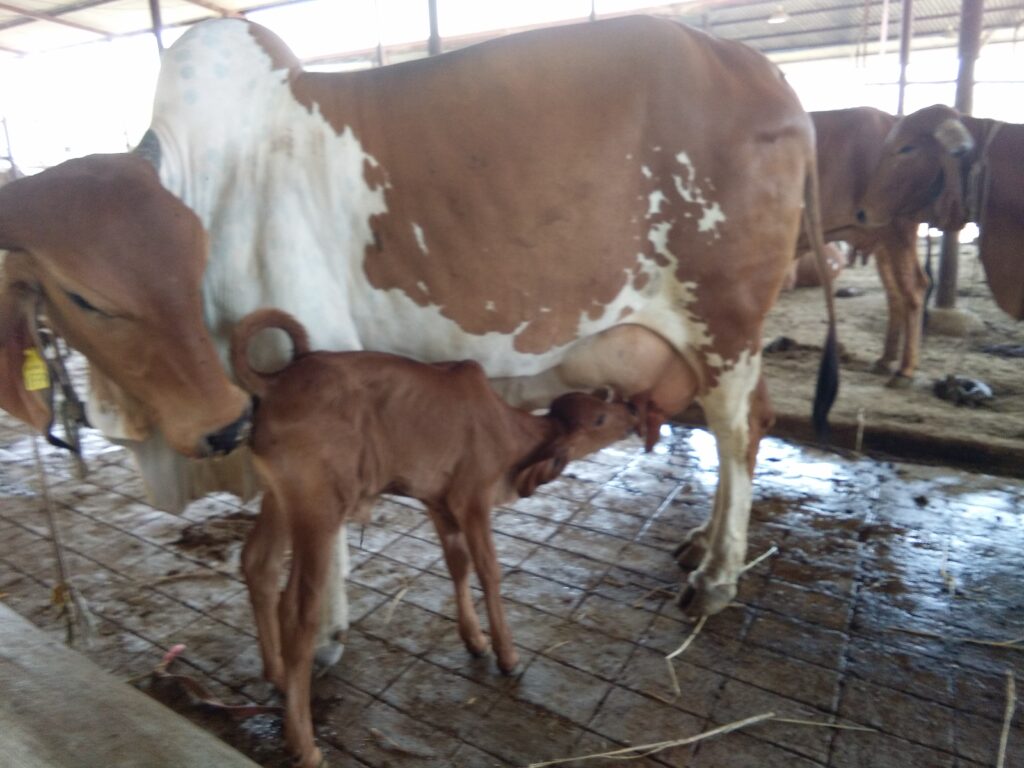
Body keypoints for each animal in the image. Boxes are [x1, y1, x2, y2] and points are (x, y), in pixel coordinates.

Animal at [0, 16, 836, 662]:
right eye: (81, 295)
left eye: (193, 252)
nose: (224, 423)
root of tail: (763, 71)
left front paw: (325, 634)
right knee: (749, 425)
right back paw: (701, 543)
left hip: (724, 319)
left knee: (738, 431)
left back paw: (717, 577)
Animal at [807, 108, 924, 385]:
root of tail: (893, 119)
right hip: (883, 241)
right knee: (896, 293)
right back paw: (886, 359)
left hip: (899, 229)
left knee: (914, 289)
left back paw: (905, 370)